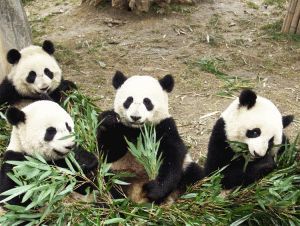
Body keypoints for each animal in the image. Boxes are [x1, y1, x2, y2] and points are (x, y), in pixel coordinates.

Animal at [96, 71, 204, 205]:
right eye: (129, 100)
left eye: (147, 102)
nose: (135, 117)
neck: (138, 130)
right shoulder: (123, 129)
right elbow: (108, 152)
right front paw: (108, 119)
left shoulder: (164, 128)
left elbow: (172, 158)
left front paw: (154, 190)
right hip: (117, 174)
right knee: (105, 181)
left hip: (186, 170)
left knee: (197, 176)